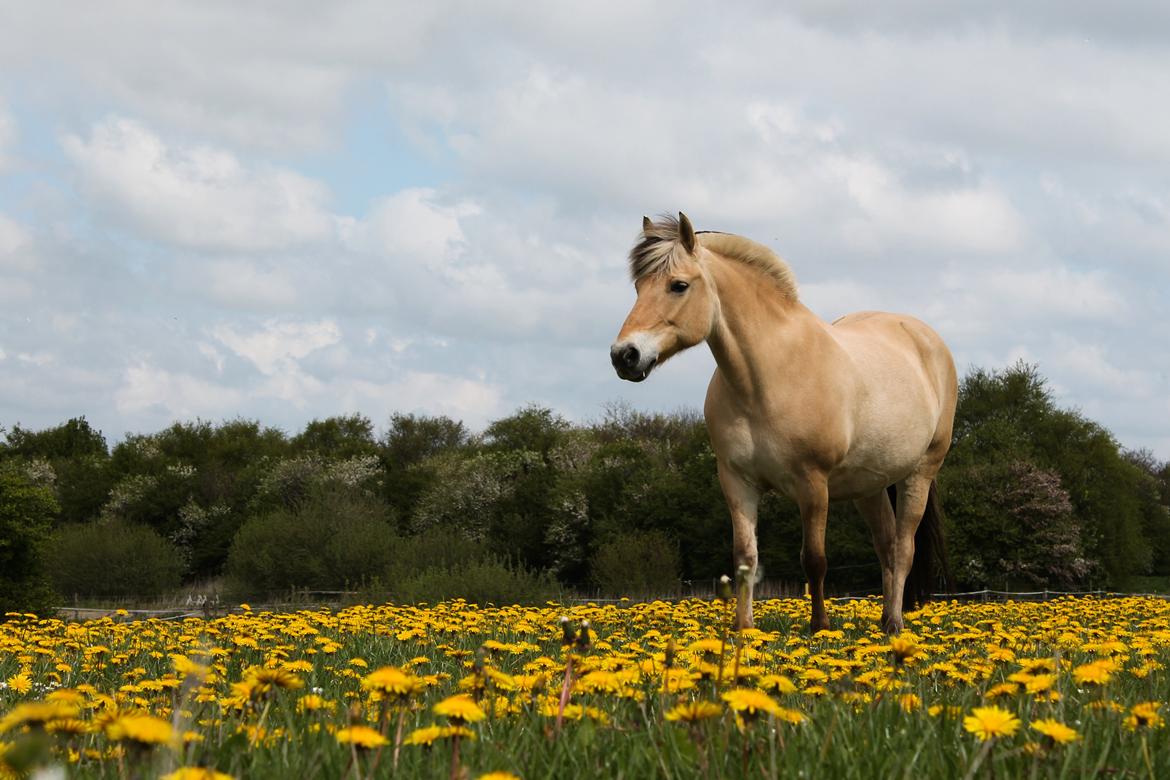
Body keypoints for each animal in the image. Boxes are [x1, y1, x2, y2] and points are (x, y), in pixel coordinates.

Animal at [608, 211, 954, 636]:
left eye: (679, 285)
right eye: (639, 286)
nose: (624, 355)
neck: (768, 375)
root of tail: (925, 338)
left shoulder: (813, 484)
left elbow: (814, 559)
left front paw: (820, 626)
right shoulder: (737, 482)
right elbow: (745, 557)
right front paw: (744, 627)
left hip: (919, 473)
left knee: (904, 548)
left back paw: (894, 625)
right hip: (869, 487)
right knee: (886, 548)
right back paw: (887, 619)